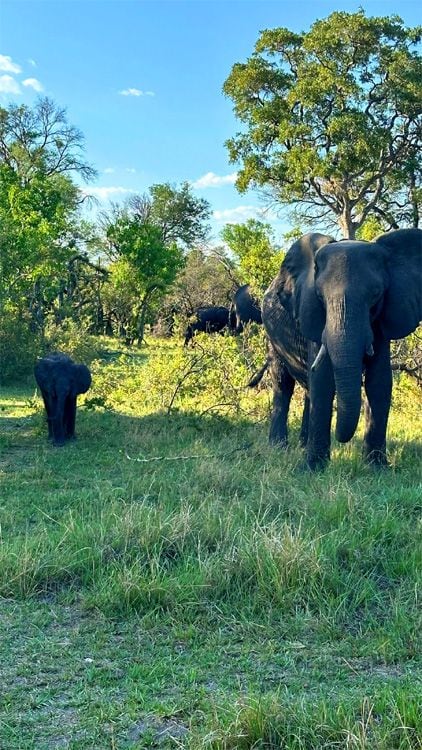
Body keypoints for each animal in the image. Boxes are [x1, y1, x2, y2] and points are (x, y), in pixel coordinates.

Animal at [264, 229, 422, 470]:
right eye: (319, 296)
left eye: (376, 295)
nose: (341, 439)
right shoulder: (312, 314)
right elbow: (322, 379)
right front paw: (313, 468)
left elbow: (380, 381)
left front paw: (377, 468)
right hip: (273, 337)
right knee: (282, 384)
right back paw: (278, 448)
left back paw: (302, 446)